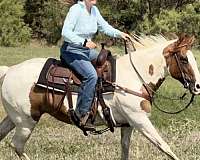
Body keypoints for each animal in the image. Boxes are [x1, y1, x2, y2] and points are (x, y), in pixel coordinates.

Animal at [0, 34, 199, 160]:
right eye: (184, 60)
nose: (197, 86)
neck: (134, 76)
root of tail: (10, 70)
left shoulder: (128, 124)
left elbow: (125, 150)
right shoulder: (139, 119)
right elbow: (164, 146)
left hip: (14, 118)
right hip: (27, 121)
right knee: (17, 145)